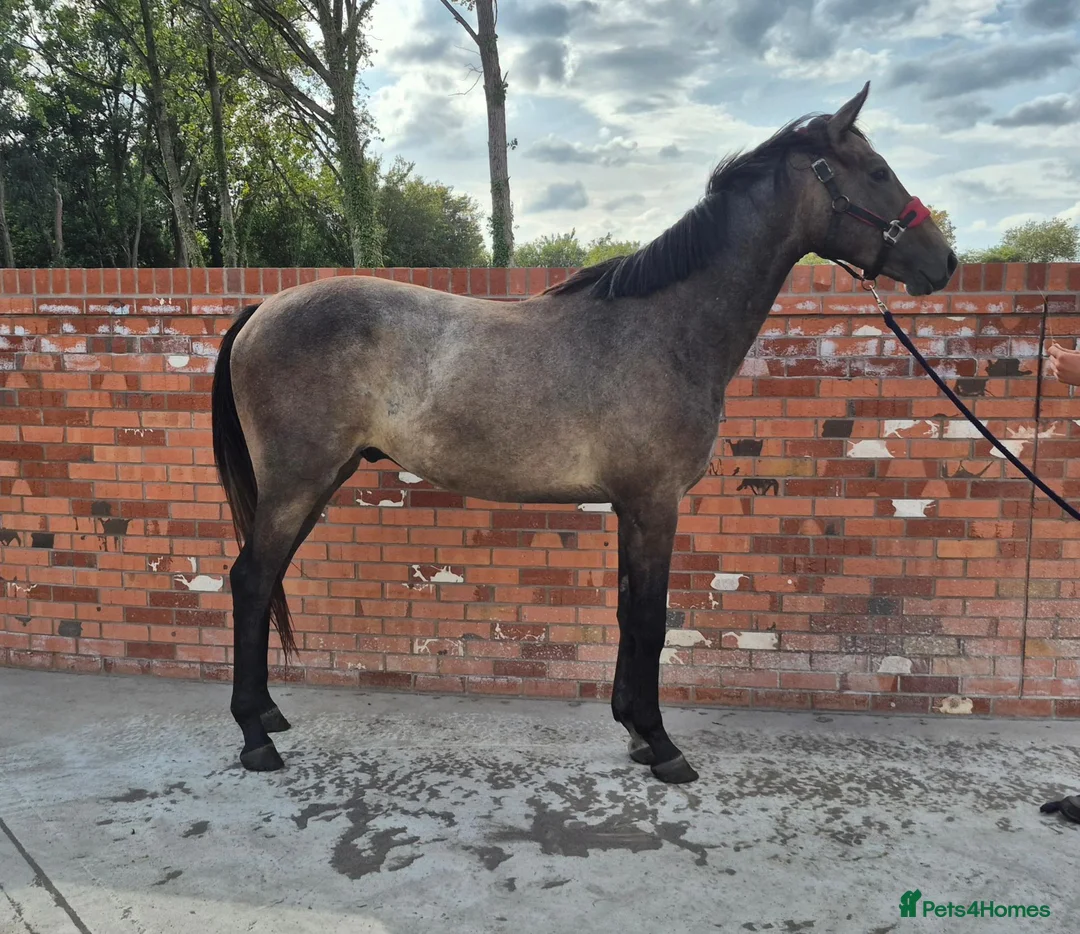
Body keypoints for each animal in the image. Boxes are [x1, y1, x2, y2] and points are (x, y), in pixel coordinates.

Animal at [211, 82, 957, 784]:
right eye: (878, 171)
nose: (945, 262)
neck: (665, 329)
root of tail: (262, 309)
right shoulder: (655, 502)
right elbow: (651, 620)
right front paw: (662, 745)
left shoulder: (633, 506)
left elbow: (629, 614)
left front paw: (634, 730)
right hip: (298, 483)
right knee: (249, 580)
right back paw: (252, 736)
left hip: (318, 482)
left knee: (264, 578)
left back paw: (268, 715)